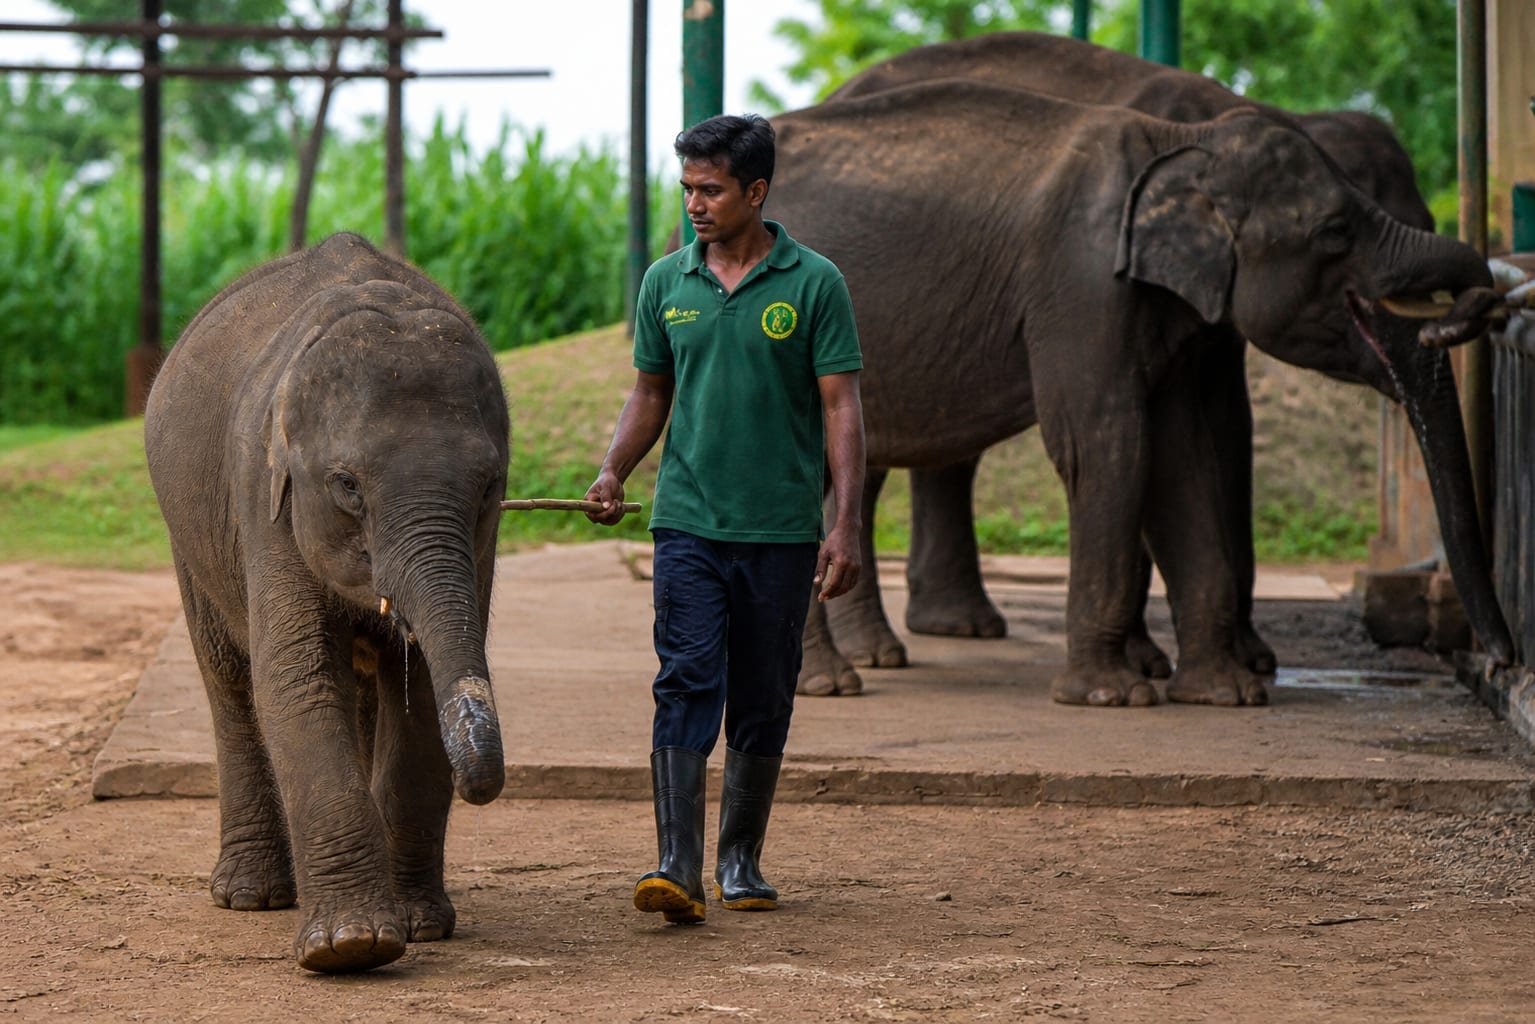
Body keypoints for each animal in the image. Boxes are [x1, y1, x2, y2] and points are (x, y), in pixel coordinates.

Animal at [143, 232, 510, 973]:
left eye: (489, 486)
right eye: (346, 485)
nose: (482, 788)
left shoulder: (480, 548)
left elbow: (419, 691)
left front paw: (419, 925)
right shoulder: (262, 500)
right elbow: (297, 678)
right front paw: (350, 947)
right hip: (190, 538)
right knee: (229, 679)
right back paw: (250, 897)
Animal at [764, 78, 1512, 707]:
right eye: (1335, 232)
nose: (1500, 662)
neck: (1180, 143)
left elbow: (1181, 457)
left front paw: (1226, 695)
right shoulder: (1082, 282)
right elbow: (1106, 443)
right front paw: (1110, 697)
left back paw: (843, 672)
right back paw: (832, 682)